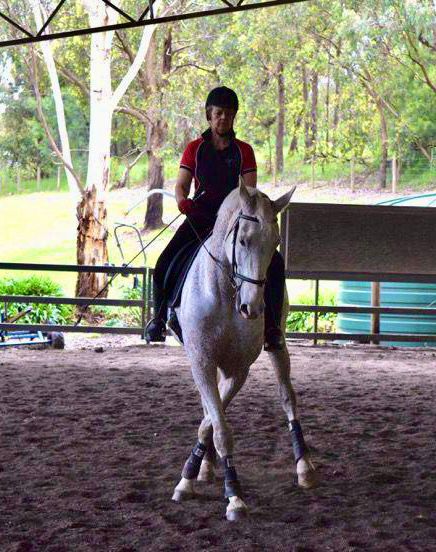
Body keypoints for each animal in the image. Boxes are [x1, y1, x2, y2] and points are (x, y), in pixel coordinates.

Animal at [170, 182, 316, 520]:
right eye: (244, 240)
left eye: (276, 242)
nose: (252, 308)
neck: (224, 292)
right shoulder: (202, 363)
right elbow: (215, 421)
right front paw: (197, 476)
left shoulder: (238, 370)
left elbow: (214, 424)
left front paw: (230, 493)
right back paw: (207, 467)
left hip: (278, 344)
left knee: (287, 397)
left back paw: (304, 467)